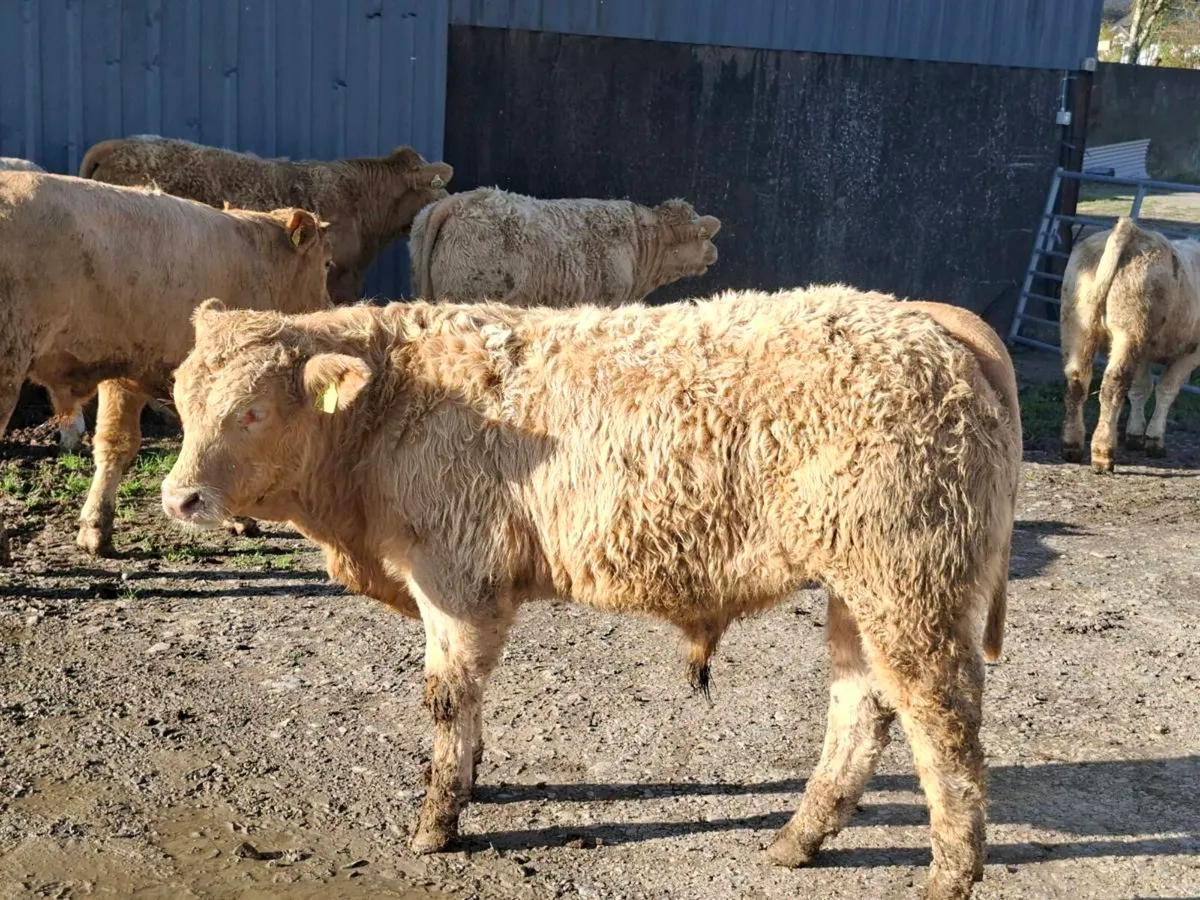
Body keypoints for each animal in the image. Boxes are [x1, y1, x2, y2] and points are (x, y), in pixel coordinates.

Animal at [161, 286, 1021, 899]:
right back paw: (798, 839)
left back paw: (948, 875)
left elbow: (448, 697)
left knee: (942, 721)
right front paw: (472, 779)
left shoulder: (456, 577)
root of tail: (923, 318)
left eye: (252, 410)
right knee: (863, 704)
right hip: (858, 590)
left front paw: (439, 820)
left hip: (908, 584)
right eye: (179, 398)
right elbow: (467, 705)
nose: (179, 497)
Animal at [1060, 216, 1200, 473]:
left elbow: (1140, 389)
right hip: (1129, 333)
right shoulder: (1191, 353)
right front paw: (1155, 440)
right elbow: (1166, 390)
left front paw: (1135, 435)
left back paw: (1072, 445)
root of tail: (1133, 232)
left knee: (1076, 380)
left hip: (1077, 324)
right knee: (1113, 384)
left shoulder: (1144, 352)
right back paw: (1103, 453)